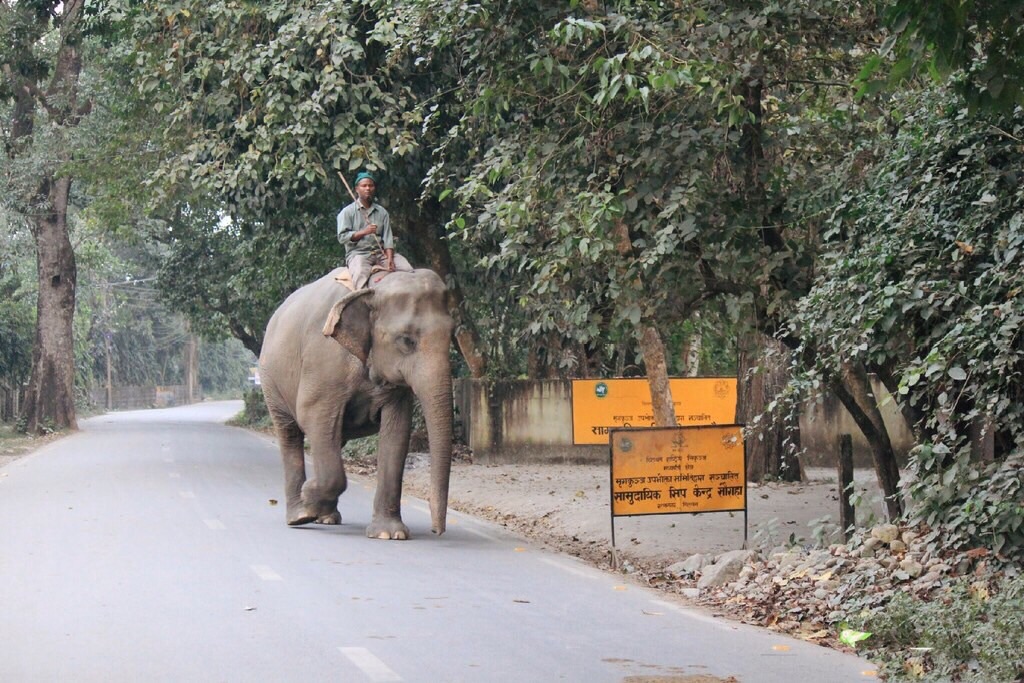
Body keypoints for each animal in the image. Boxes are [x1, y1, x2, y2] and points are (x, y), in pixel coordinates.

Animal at [260, 266, 456, 540]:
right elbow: (313, 415)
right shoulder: (323, 360)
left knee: (333, 440)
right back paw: (300, 515)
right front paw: (309, 495)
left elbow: (397, 430)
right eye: (407, 340)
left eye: (452, 335)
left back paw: (326, 517)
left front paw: (389, 534)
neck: (374, 287)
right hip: (271, 380)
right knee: (290, 434)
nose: (436, 530)